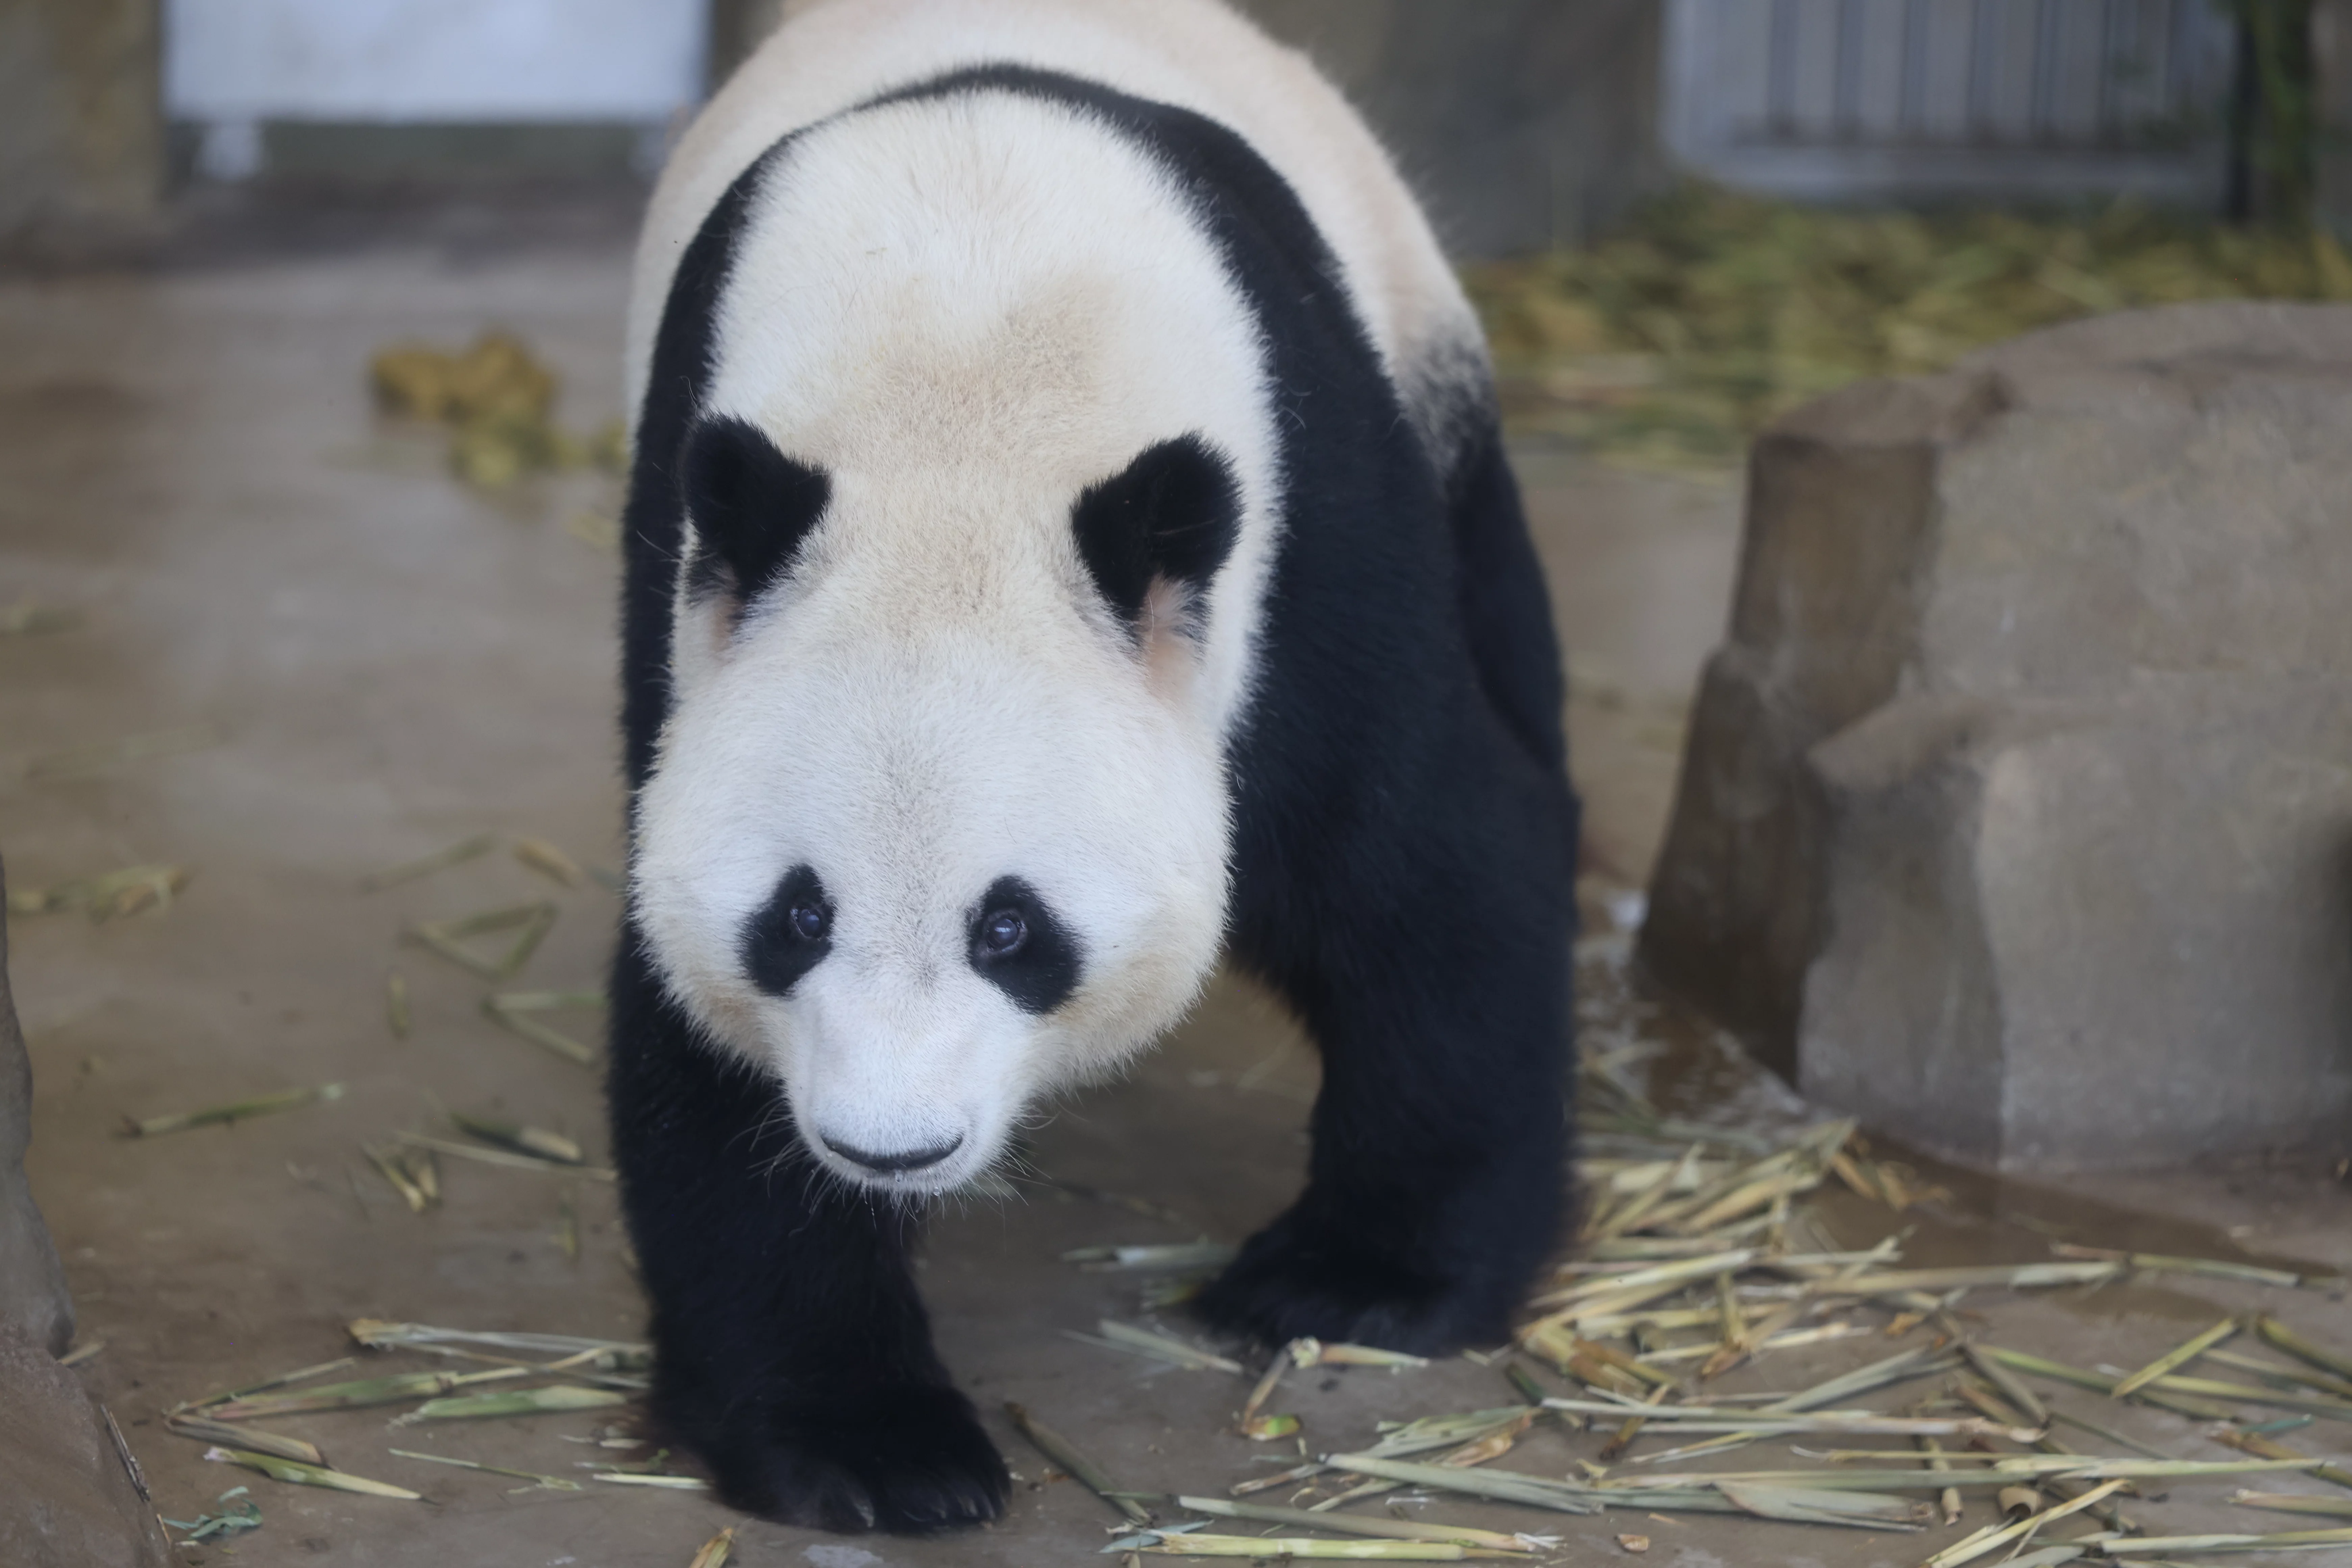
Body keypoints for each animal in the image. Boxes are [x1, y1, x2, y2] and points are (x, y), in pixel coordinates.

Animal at [610, 0, 1578, 1535]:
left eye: (1011, 927)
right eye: (797, 915)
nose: (892, 1148)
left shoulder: (1309, 531)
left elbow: (1427, 873)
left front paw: (1357, 1280)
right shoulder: (689, 601)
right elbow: (689, 1036)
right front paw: (869, 1445)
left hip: (1429, 364)